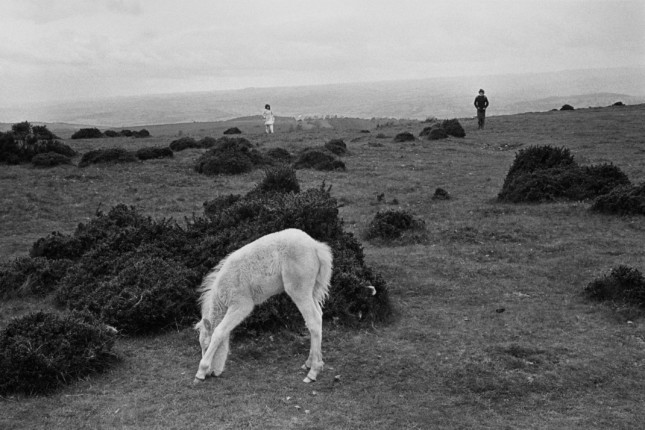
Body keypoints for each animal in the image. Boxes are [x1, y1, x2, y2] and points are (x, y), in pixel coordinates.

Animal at [193, 228, 333, 384]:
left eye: (206, 346)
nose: (211, 373)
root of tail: (316, 247)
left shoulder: (241, 304)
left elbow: (219, 332)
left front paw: (200, 372)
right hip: (311, 291)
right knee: (318, 317)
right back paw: (311, 363)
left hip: (299, 289)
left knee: (313, 321)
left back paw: (313, 372)